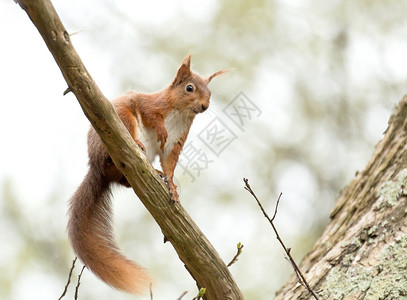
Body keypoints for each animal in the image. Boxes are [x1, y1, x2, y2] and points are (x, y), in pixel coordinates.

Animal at [67, 54, 226, 296]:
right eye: (189, 88)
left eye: (210, 93)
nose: (204, 106)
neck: (180, 113)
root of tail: (96, 168)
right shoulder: (151, 103)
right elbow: (150, 113)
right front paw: (160, 128)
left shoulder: (175, 143)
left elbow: (170, 166)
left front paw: (172, 187)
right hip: (122, 120)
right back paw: (135, 145)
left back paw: (156, 173)